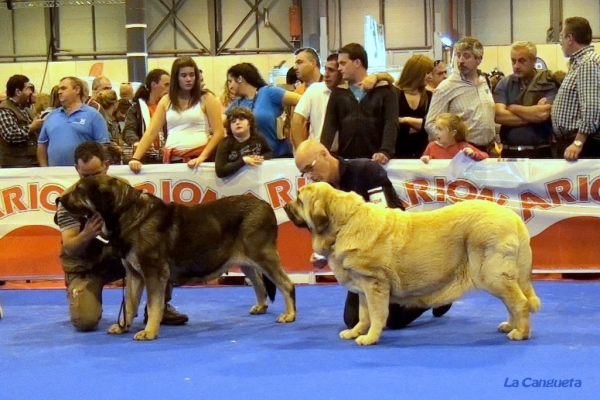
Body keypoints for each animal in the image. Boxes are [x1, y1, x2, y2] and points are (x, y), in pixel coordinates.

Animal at [59, 176, 296, 340]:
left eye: (80, 190)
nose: (59, 198)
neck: (127, 212)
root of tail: (267, 206)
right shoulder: (135, 274)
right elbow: (130, 304)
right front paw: (123, 326)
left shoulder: (153, 273)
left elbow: (153, 304)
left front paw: (149, 332)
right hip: (245, 260)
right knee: (258, 282)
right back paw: (261, 306)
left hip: (262, 255)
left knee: (286, 284)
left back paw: (290, 315)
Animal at [284, 183, 540, 346]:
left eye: (299, 200)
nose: (286, 206)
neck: (344, 223)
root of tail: (515, 218)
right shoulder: (364, 288)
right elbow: (363, 315)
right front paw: (356, 332)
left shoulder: (374, 284)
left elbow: (377, 314)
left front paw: (370, 338)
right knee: (513, 302)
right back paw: (510, 326)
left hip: (491, 275)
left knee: (520, 302)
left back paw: (521, 332)